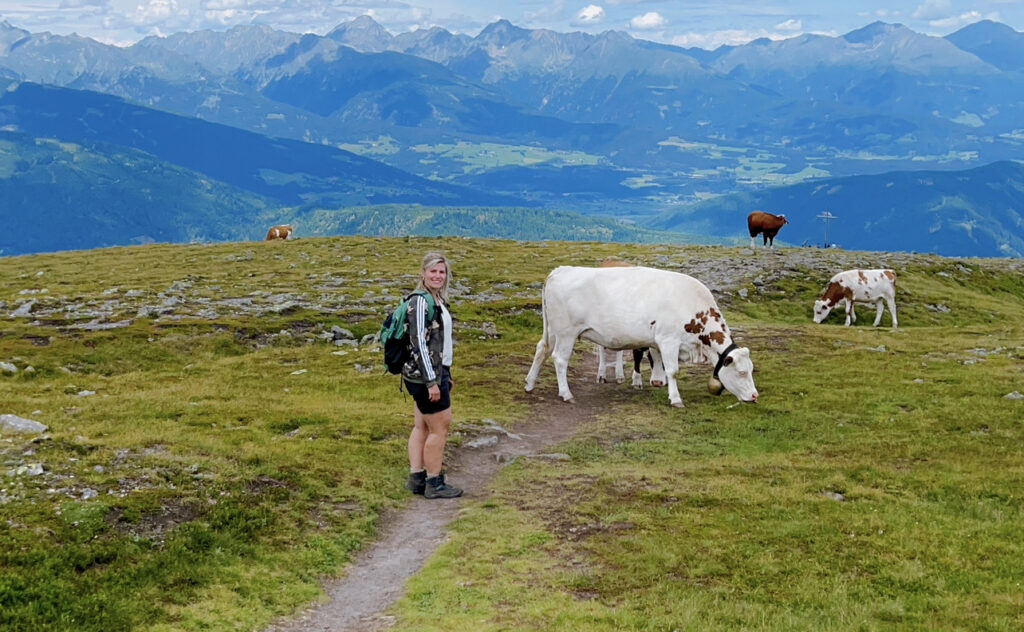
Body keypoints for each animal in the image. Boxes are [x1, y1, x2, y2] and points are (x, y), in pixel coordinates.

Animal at [524, 264, 757, 407]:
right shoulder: (669, 340)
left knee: (541, 350)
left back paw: (529, 384)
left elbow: (659, 364)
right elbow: (673, 371)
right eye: (742, 372)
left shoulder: (659, 341)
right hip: (566, 332)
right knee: (559, 359)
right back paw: (566, 394)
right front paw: (675, 399)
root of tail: (560, 270)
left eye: (751, 370)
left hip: (553, 331)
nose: (755, 396)